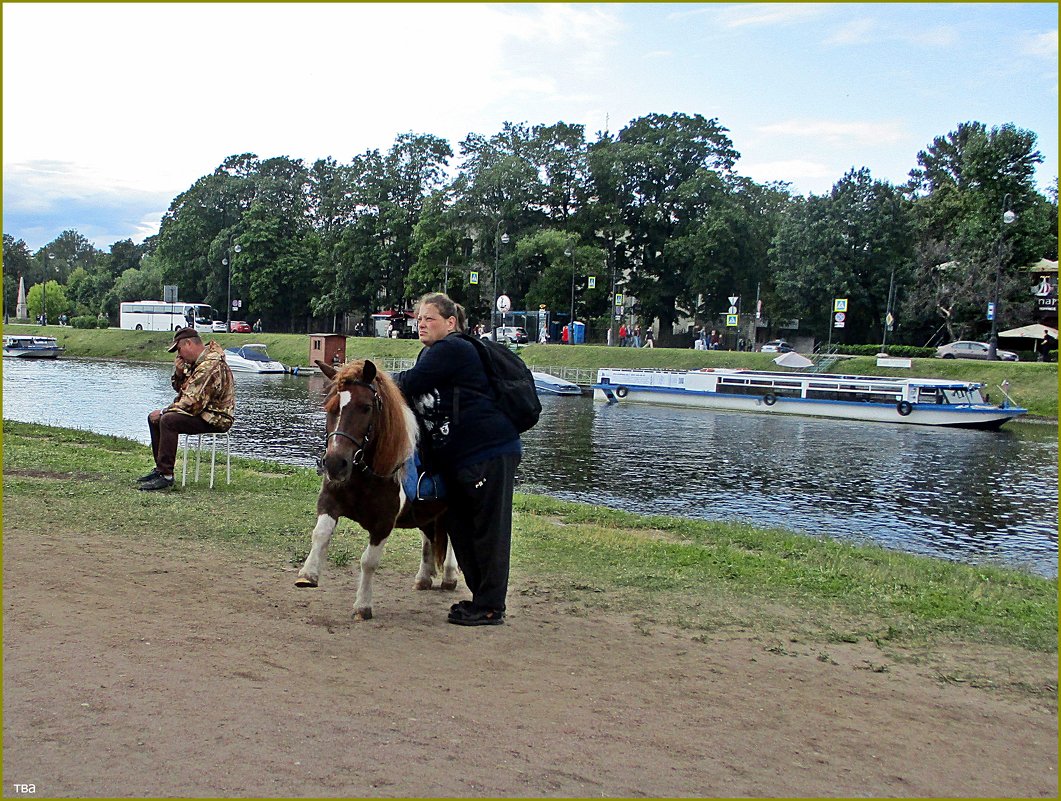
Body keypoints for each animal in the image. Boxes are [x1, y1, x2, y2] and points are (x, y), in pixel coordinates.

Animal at [292, 358, 458, 619]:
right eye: (330, 407)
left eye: (366, 408)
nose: (334, 463)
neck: (366, 472)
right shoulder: (329, 501)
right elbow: (320, 534)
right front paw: (308, 574)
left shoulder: (383, 523)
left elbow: (368, 562)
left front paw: (363, 605)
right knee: (428, 538)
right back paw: (424, 577)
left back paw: (450, 575)